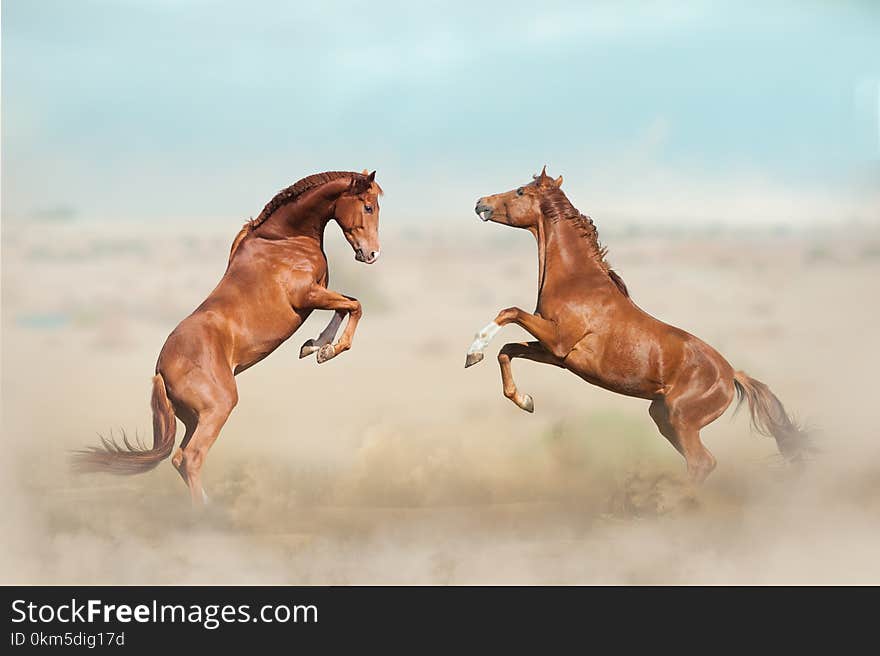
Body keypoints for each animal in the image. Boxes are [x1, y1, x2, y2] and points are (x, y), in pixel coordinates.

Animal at [72, 168, 382, 502]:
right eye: (368, 206)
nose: (372, 254)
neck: (285, 239)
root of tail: (161, 372)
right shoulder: (308, 295)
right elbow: (355, 305)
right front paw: (326, 350)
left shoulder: (319, 293)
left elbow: (347, 304)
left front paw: (314, 347)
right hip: (217, 409)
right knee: (190, 458)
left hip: (194, 419)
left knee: (180, 458)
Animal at [468, 164, 812, 482]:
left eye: (520, 191)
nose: (480, 202)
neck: (576, 280)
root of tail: (731, 375)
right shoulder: (556, 354)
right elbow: (507, 350)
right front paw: (525, 401)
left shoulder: (558, 340)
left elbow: (509, 313)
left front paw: (473, 351)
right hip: (662, 415)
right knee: (700, 462)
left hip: (680, 418)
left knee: (702, 462)